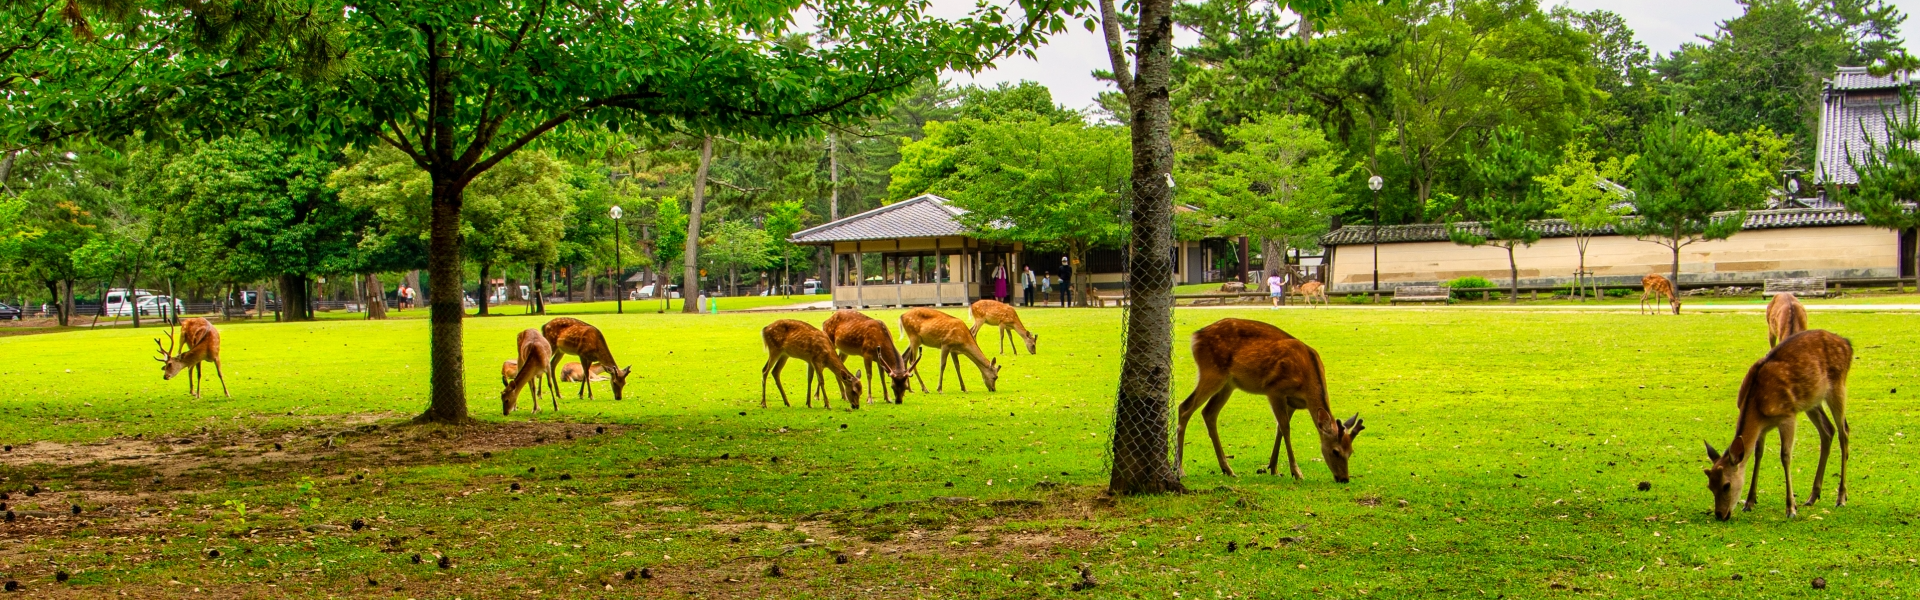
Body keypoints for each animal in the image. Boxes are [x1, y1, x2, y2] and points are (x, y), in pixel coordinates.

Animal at [1167, 319, 1367, 482]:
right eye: (1335, 451)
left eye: (1351, 452)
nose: (1344, 478)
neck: (1306, 379)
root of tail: (1195, 336)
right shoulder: (1274, 390)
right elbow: (1286, 428)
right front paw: (1296, 472)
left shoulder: (1292, 402)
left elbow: (1280, 429)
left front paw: (1273, 468)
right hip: (1212, 372)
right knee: (1185, 407)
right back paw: (1180, 470)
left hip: (1228, 383)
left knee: (1209, 412)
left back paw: (1228, 469)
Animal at [1704, 328, 1850, 519]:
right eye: (1710, 486)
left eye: (1726, 485)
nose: (1720, 515)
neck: (1757, 405)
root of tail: (1847, 344)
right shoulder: (1763, 428)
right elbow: (1758, 455)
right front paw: (1749, 502)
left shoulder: (1788, 416)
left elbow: (1785, 456)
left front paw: (1791, 509)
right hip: (1812, 400)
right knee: (1828, 430)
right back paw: (1812, 497)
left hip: (1838, 387)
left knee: (1844, 432)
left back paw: (1841, 498)